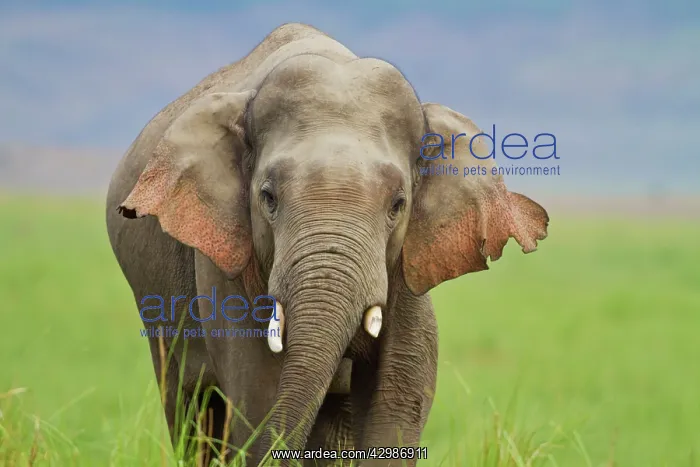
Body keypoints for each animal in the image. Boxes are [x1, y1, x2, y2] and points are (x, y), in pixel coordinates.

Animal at [105, 22, 549, 466]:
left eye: (398, 204)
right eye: (267, 198)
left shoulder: (408, 260)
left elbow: (400, 392)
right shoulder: (221, 259)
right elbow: (258, 397)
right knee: (192, 412)